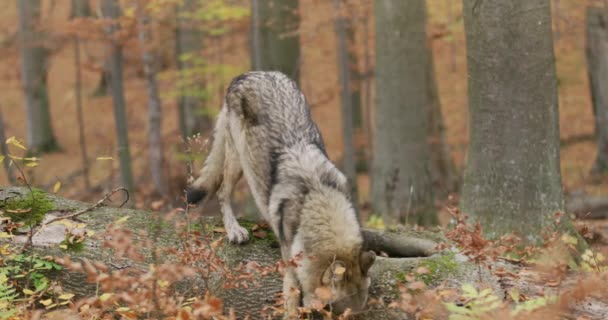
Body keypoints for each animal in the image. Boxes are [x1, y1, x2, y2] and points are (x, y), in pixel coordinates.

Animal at [185, 71, 376, 318]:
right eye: (340, 314)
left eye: (358, 314)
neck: (317, 196)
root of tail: (248, 75)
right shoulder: (291, 269)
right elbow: (293, 302)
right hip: (238, 162)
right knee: (221, 192)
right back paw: (234, 230)